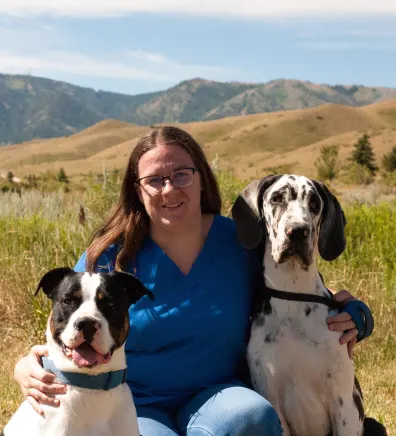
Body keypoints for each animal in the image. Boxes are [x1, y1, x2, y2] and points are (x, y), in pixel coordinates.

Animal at [232, 175, 366, 436]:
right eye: (276, 198)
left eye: (314, 203)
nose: (297, 232)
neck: (292, 296)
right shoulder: (272, 399)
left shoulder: (345, 404)